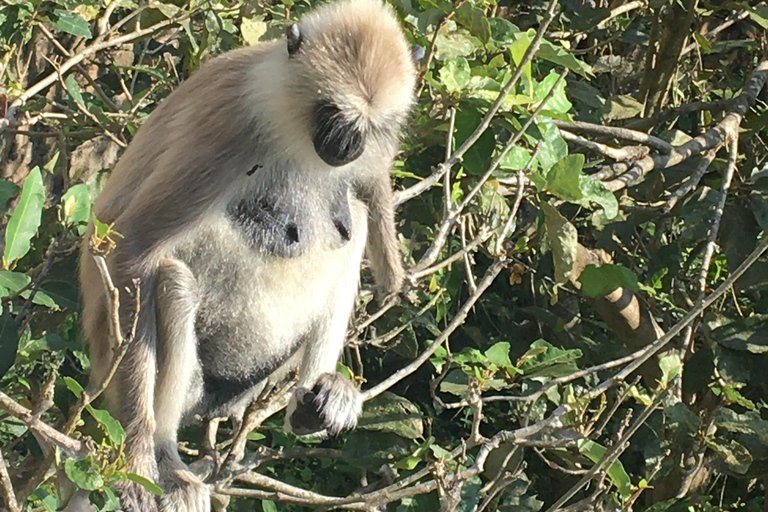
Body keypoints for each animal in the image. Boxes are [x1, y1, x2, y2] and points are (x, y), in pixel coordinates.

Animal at [78, 0, 420, 510]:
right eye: (331, 115)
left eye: (369, 126)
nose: (348, 147)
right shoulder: (229, 121)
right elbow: (132, 253)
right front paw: (135, 462)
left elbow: (365, 196)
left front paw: (390, 265)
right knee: (172, 280)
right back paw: (163, 453)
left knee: (349, 224)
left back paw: (311, 401)